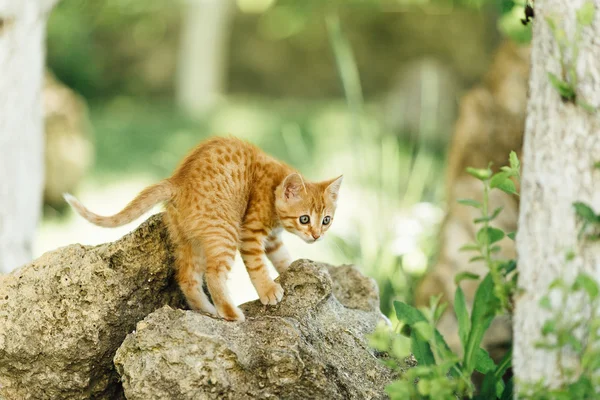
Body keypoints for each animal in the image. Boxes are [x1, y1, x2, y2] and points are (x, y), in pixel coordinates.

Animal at [65, 138, 342, 322]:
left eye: (326, 220)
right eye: (304, 219)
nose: (316, 235)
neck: (273, 185)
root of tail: (177, 182)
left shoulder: (273, 239)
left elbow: (283, 257)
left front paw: (293, 270)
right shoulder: (249, 232)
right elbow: (257, 266)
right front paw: (268, 290)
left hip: (189, 240)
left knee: (187, 278)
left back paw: (208, 311)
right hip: (225, 231)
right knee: (213, 274)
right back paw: (231, 313)